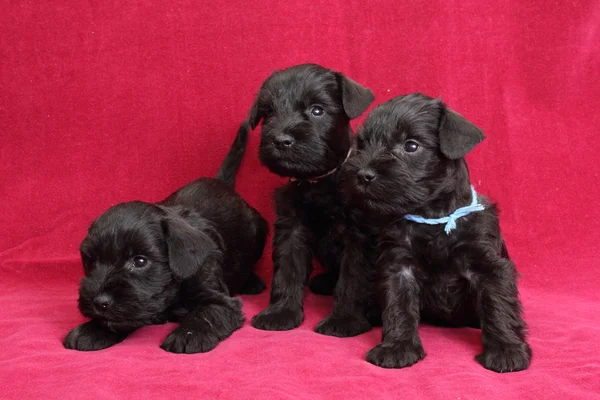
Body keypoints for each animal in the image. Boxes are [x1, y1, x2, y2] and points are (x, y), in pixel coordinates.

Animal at [63, 121, 268, 354]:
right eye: (92, 261)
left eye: (140, 261)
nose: (100, 302)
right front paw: (92, 329)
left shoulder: (222, 301)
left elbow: (207, 313)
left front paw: (187, 334)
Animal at [246, 63, 372, 332]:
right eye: (269, 113)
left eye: (317, 110)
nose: (281, 140)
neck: (319, 181)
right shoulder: (291, 229)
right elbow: (287, 270)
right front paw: (281, 312)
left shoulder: (358, 236)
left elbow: (353, 277)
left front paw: (344, 319)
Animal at [340, 94, 532, 372]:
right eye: (362, 144)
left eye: (411, 146)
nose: (363, 174)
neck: (432, 218)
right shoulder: (399, 268)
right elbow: (399, 306)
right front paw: (397, 346)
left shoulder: (488, 266)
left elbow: (498, 305)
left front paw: (506, 349)